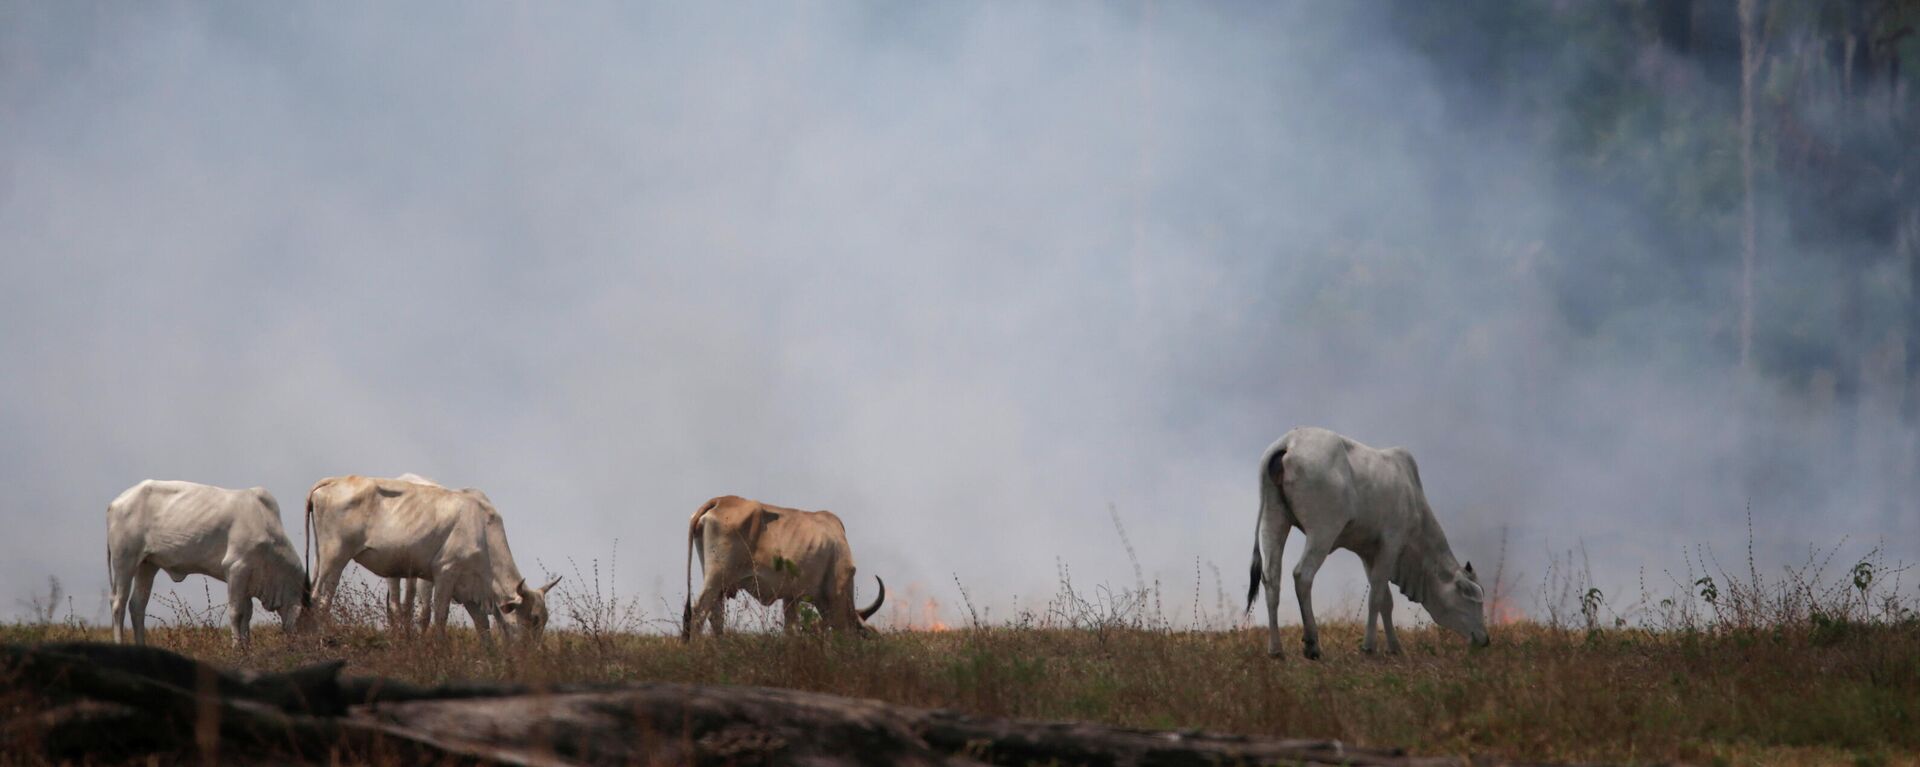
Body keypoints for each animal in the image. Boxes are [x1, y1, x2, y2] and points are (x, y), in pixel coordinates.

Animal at [107, 480, 309, 649]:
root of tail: (115, 503)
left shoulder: (247, 579)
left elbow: (247, 613)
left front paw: (247, 647)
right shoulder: (236, 568)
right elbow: (236, 613)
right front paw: (237, 647)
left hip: (147, 564)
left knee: (137, 605)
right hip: (125, 560)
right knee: (118, 603)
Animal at [301, 474, 556, 642]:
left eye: (544, 620)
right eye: (533, 619)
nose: (531, 656)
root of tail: (333, 480)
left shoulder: (467, 587)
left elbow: (482, 625)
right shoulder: (446, 572)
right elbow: (440, 616)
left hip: (320, 558)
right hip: (335, 557)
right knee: (321, 599)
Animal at [687, 495, 887, 638]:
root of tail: (719, 500)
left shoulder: (791, 597)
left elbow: (791, 629)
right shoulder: (837, 595)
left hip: (718, 583)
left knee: (715, 616)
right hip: (716, 576)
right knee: (698, 612)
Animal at [1236, 426, 1489, 661]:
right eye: (1473, 601)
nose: (1485, 639)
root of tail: (1289, 441)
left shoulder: (1368, 552)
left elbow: (1386, 600)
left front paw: (1395, 647)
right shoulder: (1392, 542)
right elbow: (1376, 596)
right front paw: (1369, 647)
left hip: (1274, 519)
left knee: (1272, 579)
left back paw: (1276, 650)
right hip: (1323, 530)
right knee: (1302, 574)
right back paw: (1312, 644)